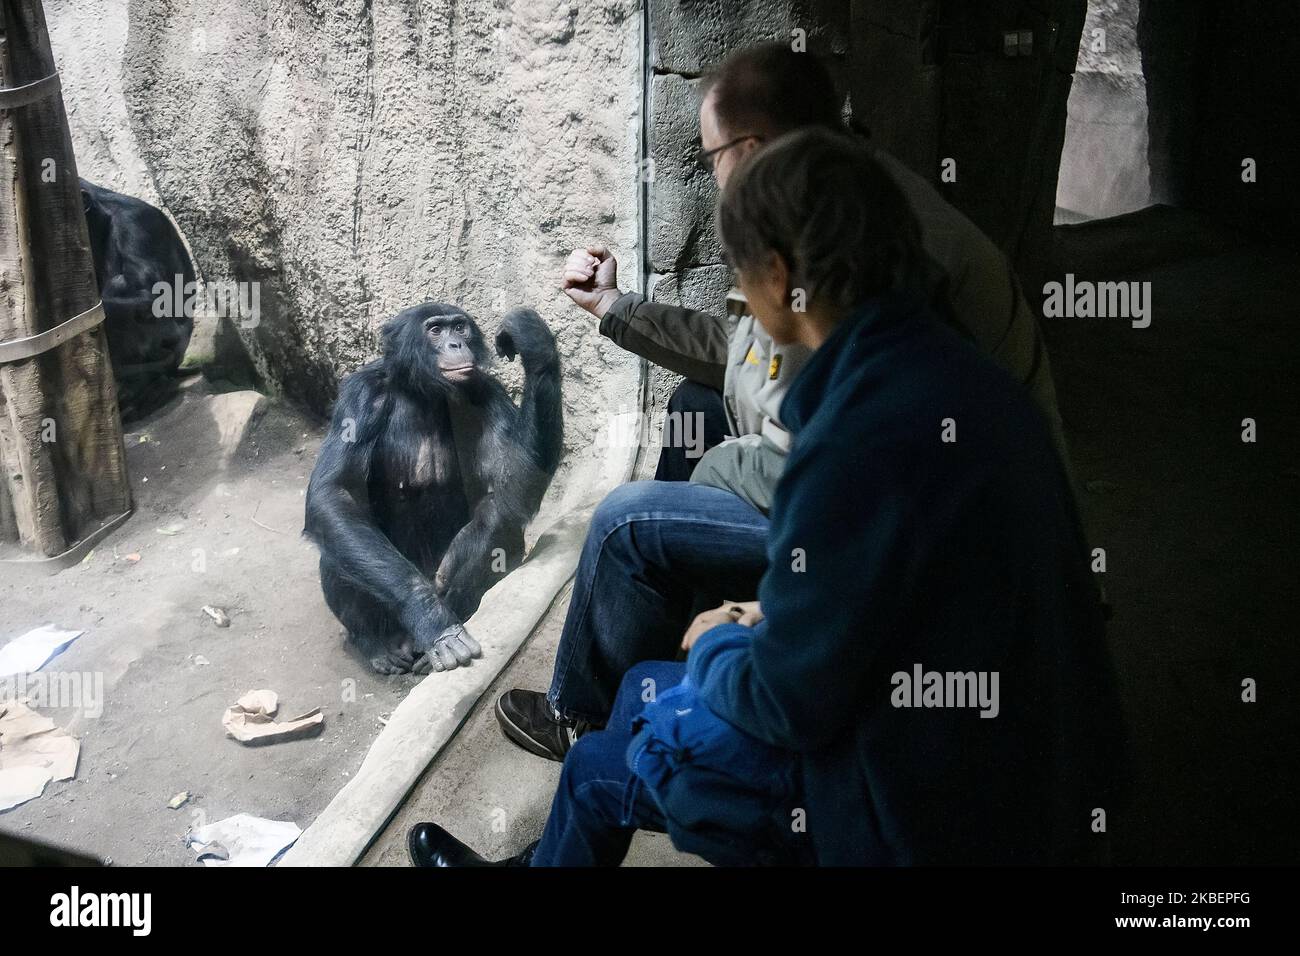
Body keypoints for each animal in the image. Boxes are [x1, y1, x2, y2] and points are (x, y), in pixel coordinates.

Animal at [306, 304, 566, 671]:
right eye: (435, 331)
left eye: (459, 327)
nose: (456, 344)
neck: (423, 392)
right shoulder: (361, 395)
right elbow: (334, 492)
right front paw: (434, 620)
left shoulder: (485, 391)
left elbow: (512, 480)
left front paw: (532, 339)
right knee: (339, 536)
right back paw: (378, 643)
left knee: (503, 523)